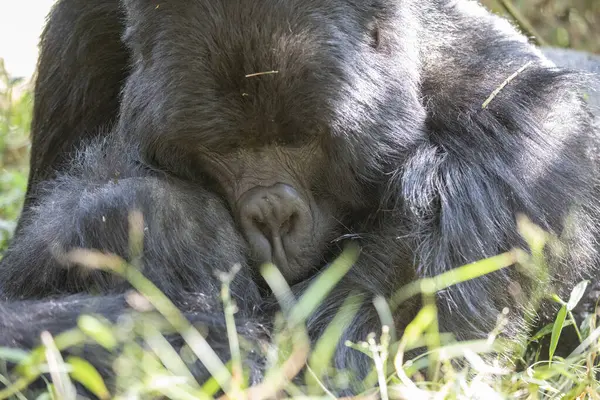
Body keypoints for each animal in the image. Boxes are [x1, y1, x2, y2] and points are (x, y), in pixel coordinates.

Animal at [1, 0, 600, 394]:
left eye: (302, 142)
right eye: (225, 148)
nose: (273, 217)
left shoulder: (514, 131)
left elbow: (333, 370)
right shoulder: (81, 31)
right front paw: (161, 221)